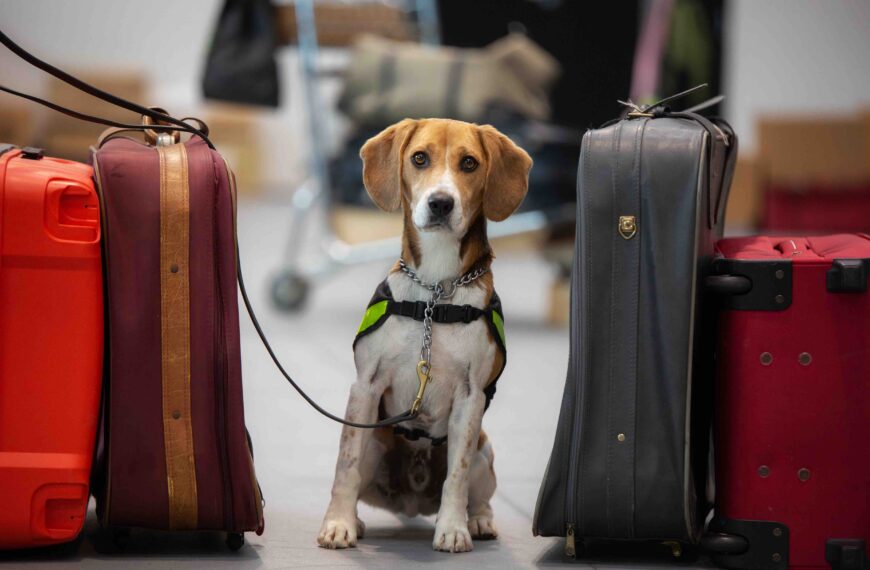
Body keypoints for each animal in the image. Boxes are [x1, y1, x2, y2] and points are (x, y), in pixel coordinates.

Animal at [318, 118, 532, 552]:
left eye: (469, 163)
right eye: (419, 158)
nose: (441, 203)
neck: (435, 292)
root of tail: (412, 500)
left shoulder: (470, 398)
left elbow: (456, 478)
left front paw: (453, 529)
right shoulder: (365, 387)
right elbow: (345, 465)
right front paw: (338, 524)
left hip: (484, 451)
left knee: (479, 494)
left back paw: (478, 521)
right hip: (374, 443)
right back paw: (357, 521)